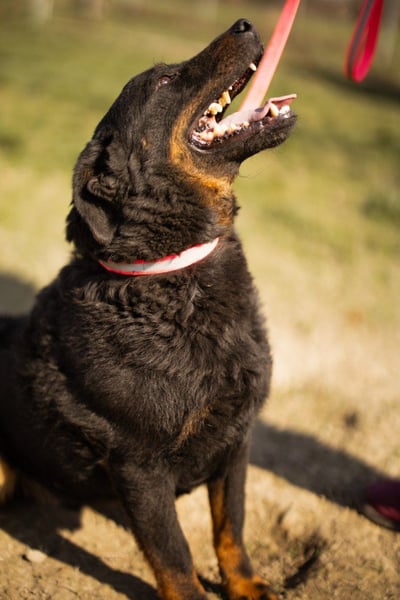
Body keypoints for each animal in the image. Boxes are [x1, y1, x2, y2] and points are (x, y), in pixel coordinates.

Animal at [0, 19, 295, 600]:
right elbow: (175, 557)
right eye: (162, 81)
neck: (167, 274)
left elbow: (232, 527)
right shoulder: (139, 465)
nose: (246, 24)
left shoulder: (237, 441)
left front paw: (247, 585)